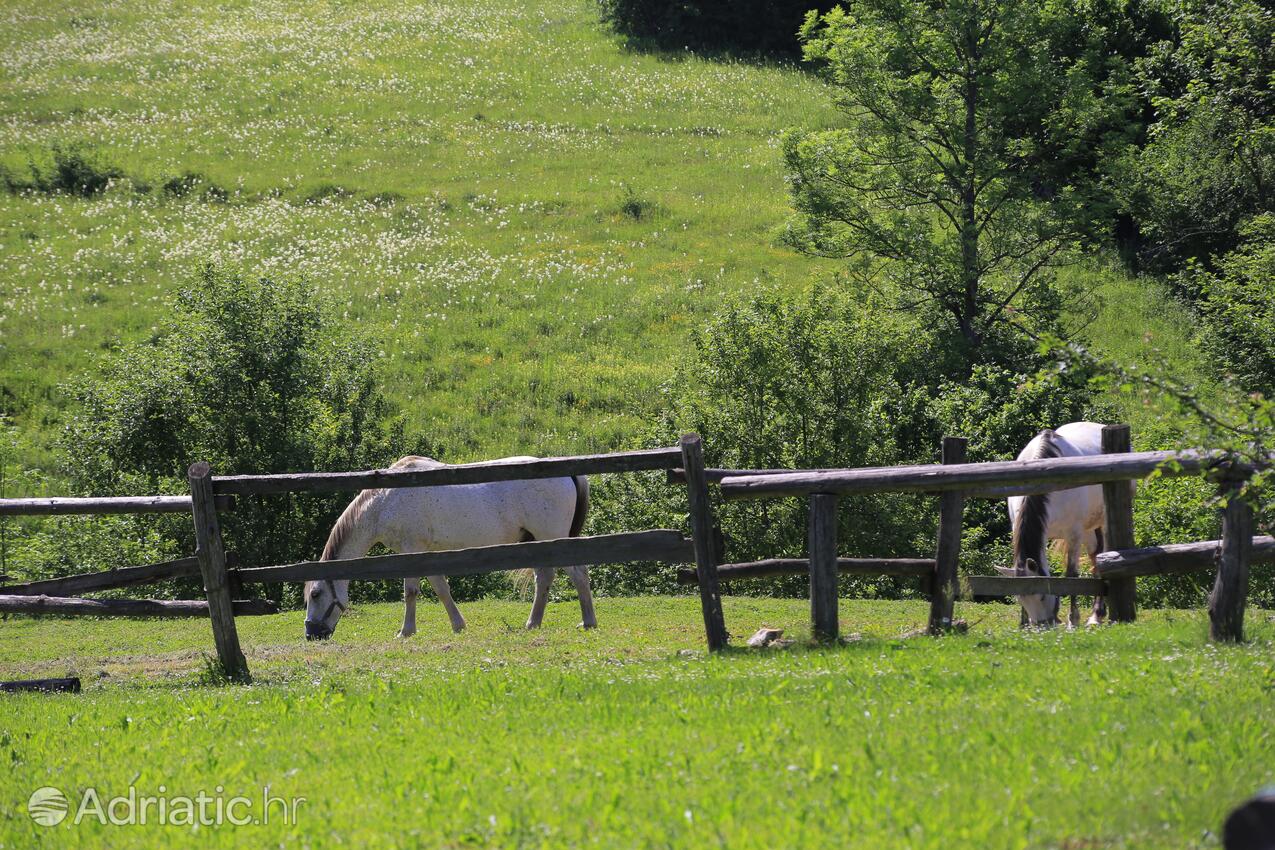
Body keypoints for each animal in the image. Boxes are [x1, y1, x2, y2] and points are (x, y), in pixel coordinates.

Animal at [302, 456, 591, 642]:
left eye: (316, 594)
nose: (311, 635)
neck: (385, 501)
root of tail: (567, 472)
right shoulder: (426, 554)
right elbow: (441, 588)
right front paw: (458, 625)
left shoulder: (411, 551)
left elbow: (410, 592)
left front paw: (406, 631)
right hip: (538, 542)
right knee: (544, 578)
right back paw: (533, 623)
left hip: (553, 539)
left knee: (578, 575)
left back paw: (588, 622)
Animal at [999, 423, 1132, 629]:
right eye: (1021, 599)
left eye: (1042, 597)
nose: (1042, 625)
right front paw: (1023, 623)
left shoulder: (1074, 534)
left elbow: (1071, 575)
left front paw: (1073, 619)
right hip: (1088, 531)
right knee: (1095, 557)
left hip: (1100, 525)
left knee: (1102, 557)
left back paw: (1096, 616)